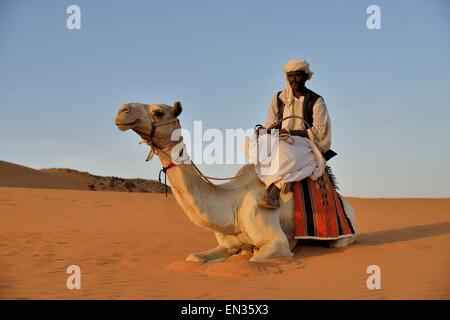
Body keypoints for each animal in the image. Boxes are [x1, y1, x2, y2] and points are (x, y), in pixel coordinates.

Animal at [115, 102, 356, 262]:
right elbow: (194, 258)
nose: (122, 110)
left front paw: (249, 252)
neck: (231, 205)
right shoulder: (225, 243)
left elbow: (255, 257)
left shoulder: (277, 242)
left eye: (159, 111)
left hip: (343, 232)